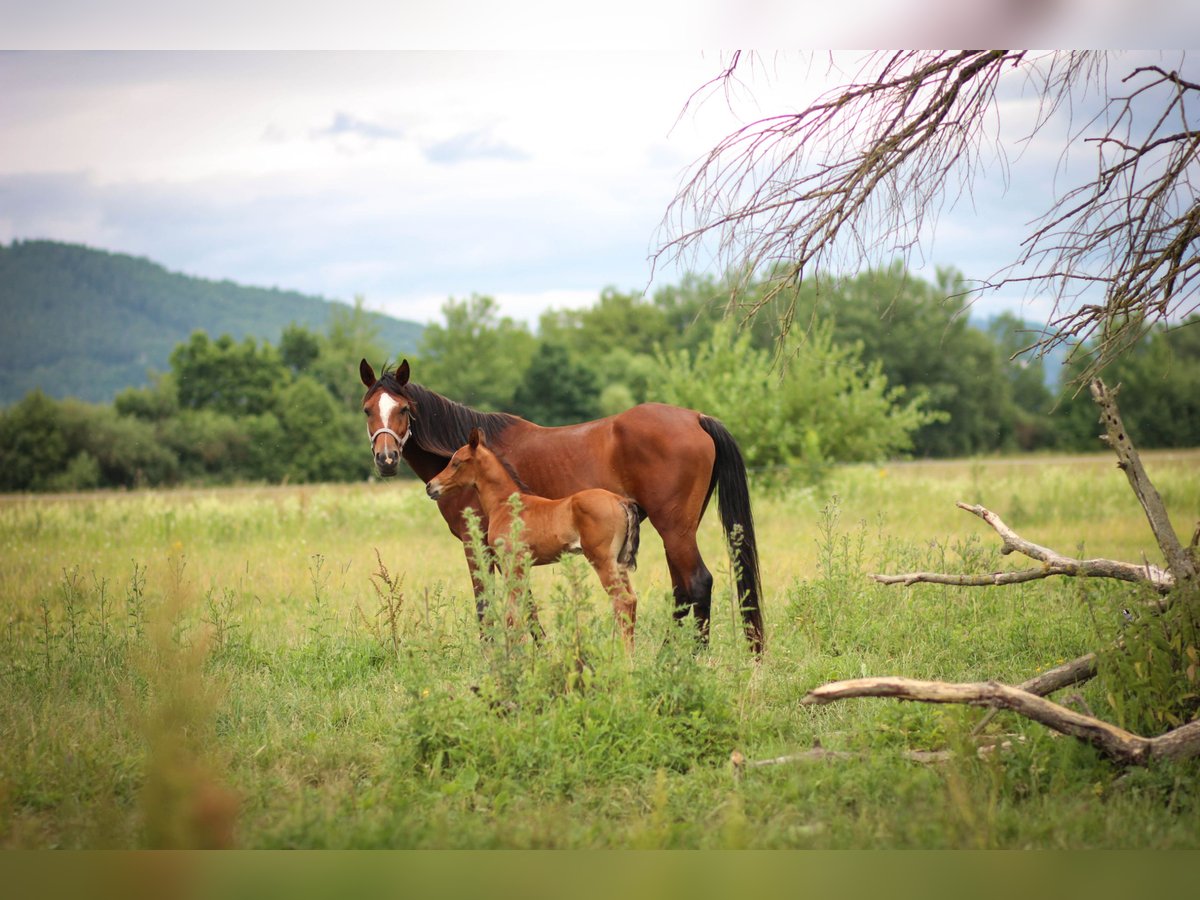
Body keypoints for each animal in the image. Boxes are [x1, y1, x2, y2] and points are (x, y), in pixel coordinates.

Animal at [427, 427, 643, 648]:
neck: (504, 505)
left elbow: (513, 615)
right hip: (618, 563)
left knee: (623, 601)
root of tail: (620, 500)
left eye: (457, 462)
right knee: (631, 601)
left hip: (602, 561)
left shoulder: (512, 564)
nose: (430, 486)